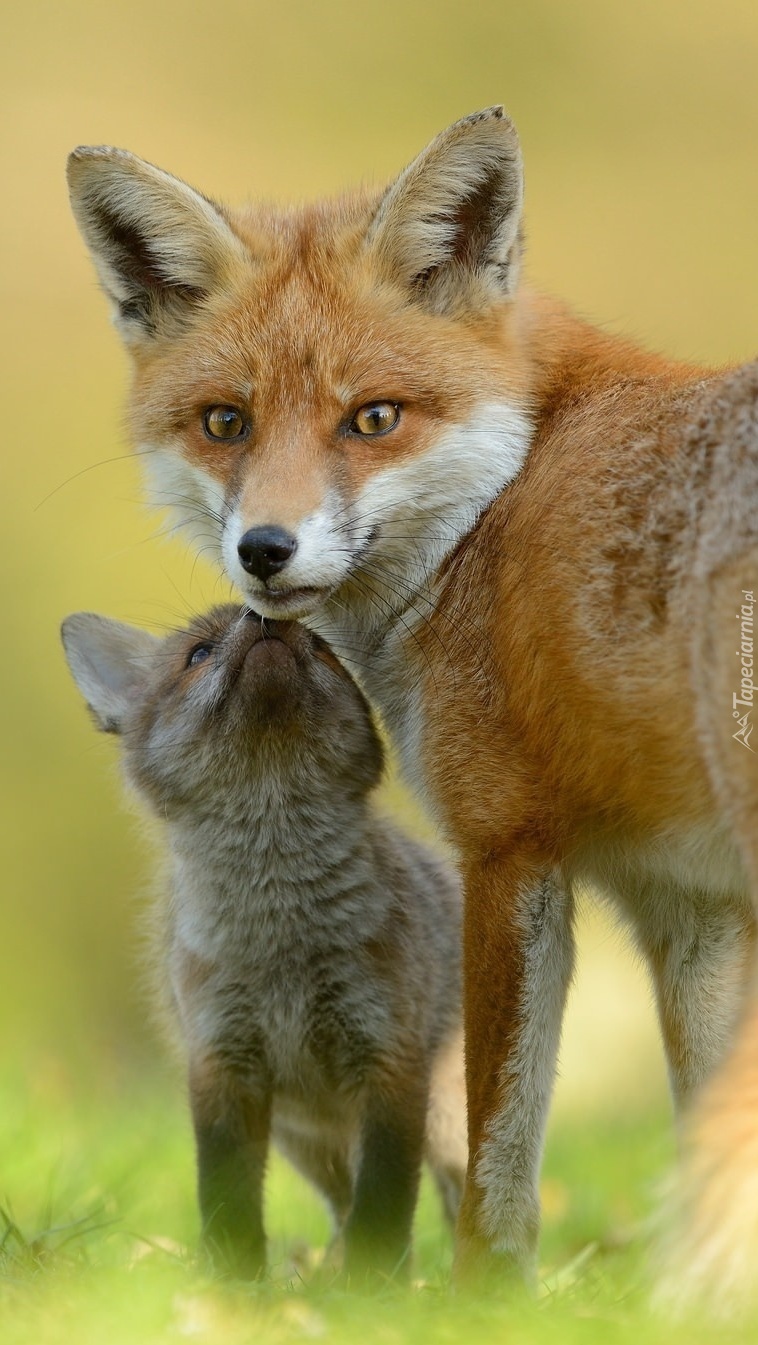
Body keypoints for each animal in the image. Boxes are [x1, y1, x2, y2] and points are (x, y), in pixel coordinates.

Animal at [65, 110, 758, 1307]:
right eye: (225, 422)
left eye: (372, 418)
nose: (264, 552)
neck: (502, 501)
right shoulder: (688, 901)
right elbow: (697, 1135)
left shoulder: (508, 852)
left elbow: (495, 1142)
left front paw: (487, 1299)